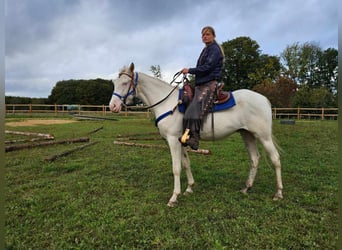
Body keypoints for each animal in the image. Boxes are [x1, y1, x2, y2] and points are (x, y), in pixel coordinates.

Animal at [109, 63, 284, 207]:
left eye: (125, 83)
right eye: (115, 83)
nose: (113, 106)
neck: (167, 103)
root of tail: (264, 99)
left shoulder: (172, 140)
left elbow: (176, 168)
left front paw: (174, 197)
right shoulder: (181, 140)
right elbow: (186, 164)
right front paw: (189, 188)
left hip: (263, 136)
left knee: (275, 159)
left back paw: (278, 193)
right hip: (247, 134)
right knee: (254, 158)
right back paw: (246, 188)